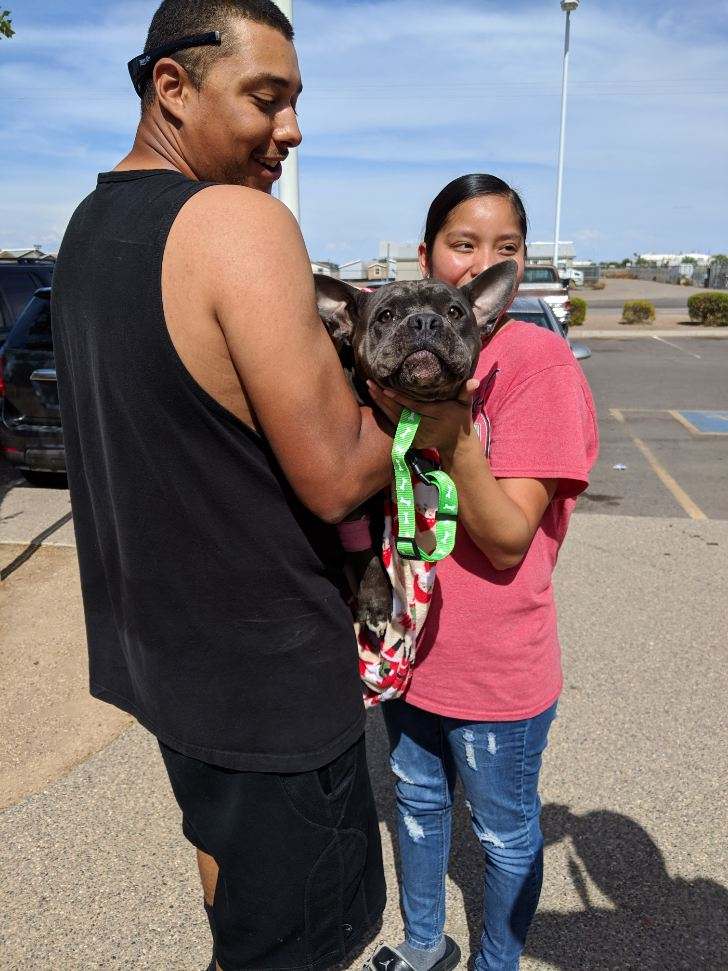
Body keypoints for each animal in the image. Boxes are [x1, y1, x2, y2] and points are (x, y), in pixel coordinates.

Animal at [312, 258, 516, 700]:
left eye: (455, 312)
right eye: (386, 316)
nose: (425, 321)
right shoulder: (355, 505)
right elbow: (367, 550)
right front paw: (375, 599)